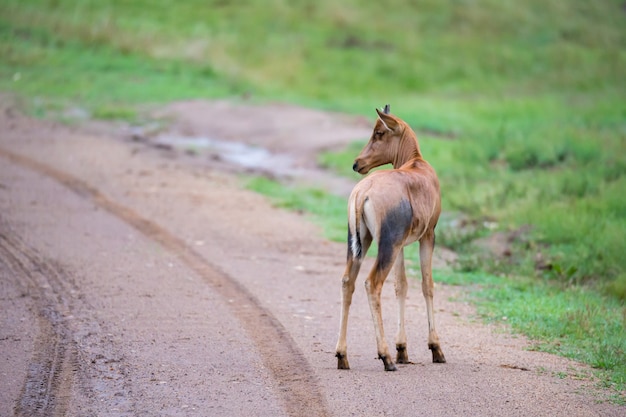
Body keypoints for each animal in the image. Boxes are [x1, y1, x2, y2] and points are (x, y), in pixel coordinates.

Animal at [334, 104, 446, 370]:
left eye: (379, 132)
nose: (357, 164)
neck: (416, 166)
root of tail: (362, 191)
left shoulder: (402, 245)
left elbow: (401, 285)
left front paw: (402, 349)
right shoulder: (428, 236)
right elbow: (427, 285)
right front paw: (436, 349)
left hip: (361, 244)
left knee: (347, 282)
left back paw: (342, 355)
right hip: (386, 247)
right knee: (372, 284)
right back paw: (385, 357)